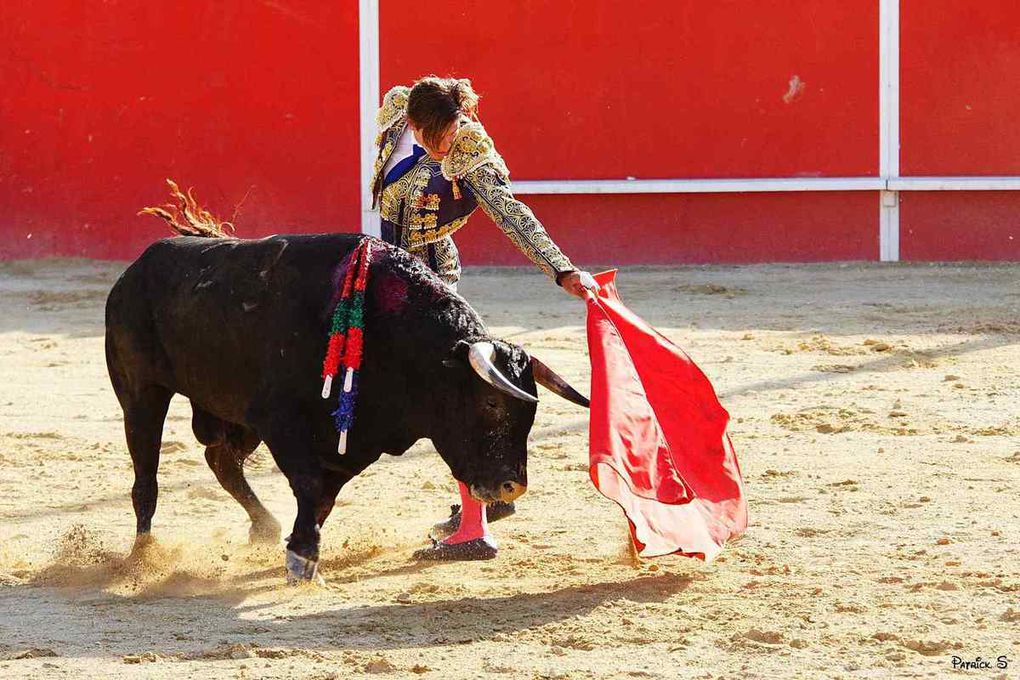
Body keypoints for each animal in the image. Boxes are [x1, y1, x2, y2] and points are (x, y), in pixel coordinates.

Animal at [106, 232, 587, 579]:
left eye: (531, 415)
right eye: (490, 402)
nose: (512, 487)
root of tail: (133, 272)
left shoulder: (349, 441)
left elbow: (324, 496)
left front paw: (302, 549)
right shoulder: (281, 424)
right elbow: (310, 486)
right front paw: (303, 557)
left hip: (232, 414)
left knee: (221, 460)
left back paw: (264, 526)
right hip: (142, 393)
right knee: (146, 477)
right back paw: (143, 555)